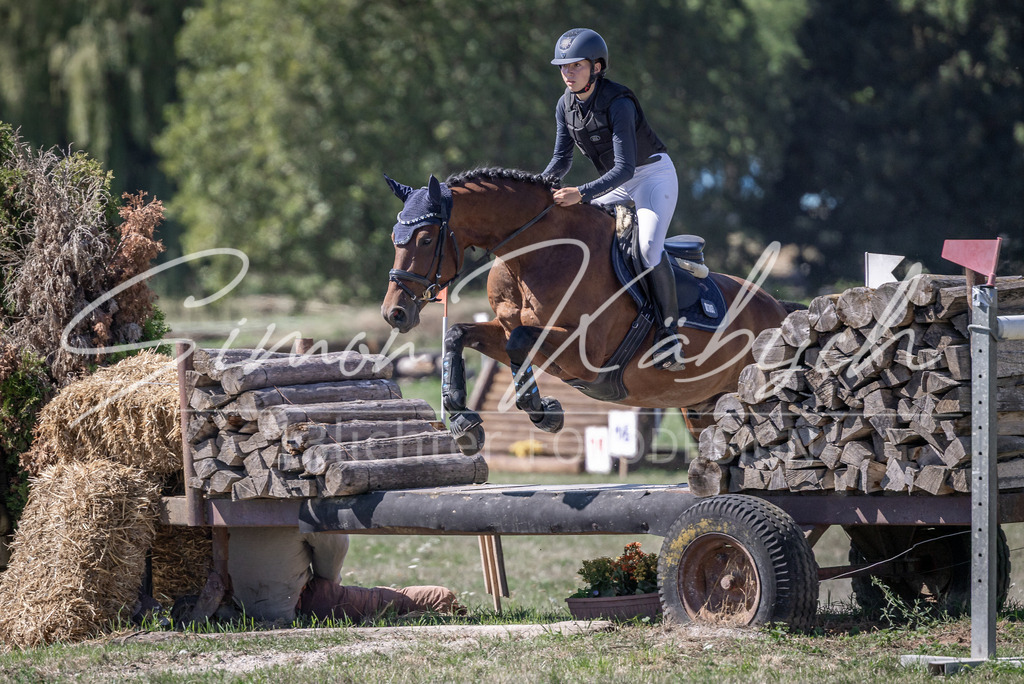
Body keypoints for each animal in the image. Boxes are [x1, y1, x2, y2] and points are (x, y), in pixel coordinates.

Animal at [380, 167, 790, 454]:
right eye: (394, 239)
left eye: (426, 239)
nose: (393, 313)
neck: (534, 254)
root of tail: (780, 308)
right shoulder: (507, 328)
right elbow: (462, 334)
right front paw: (464, 420)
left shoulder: (586, 353)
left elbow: (520, 341)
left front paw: (543, 410)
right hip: (700, 406)